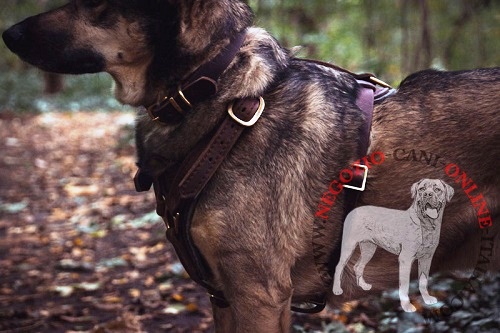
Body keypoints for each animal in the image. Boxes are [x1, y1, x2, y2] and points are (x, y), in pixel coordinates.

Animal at [334, 179, 456, 312]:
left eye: (437, 189)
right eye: (422, 189)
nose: (427, 194)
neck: (426, 226)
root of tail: (352, 211)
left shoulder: (427, 258)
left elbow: (423, 281)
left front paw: (427, 298)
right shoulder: (405, 259)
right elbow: (405, 285)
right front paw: (407, 306)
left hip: (369, 248)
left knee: (358, 266)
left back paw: (364, 285)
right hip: (349, 245)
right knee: (339, 266)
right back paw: (337, 290)